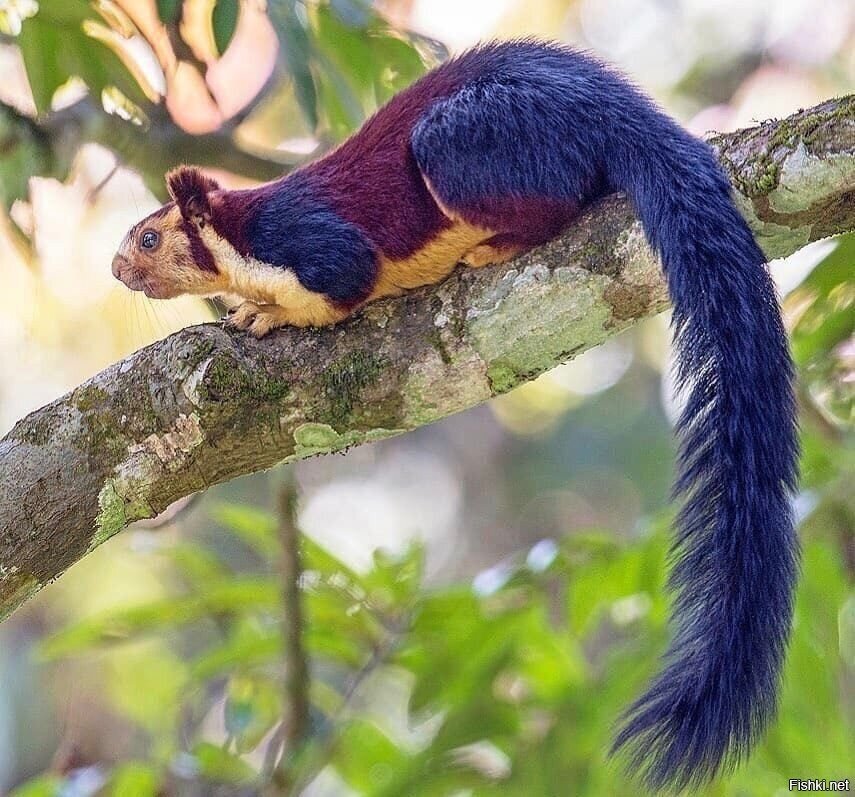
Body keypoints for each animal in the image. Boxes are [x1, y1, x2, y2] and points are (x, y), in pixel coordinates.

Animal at [113, 40, 799, 792]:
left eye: (149, 239)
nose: (116, 269)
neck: (238, 239)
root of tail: (616, 108)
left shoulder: (306, 239)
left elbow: (343, 283)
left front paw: (268, 313)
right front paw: (248, 306)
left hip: (469, 141)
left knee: (557, 199)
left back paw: (494, 243)